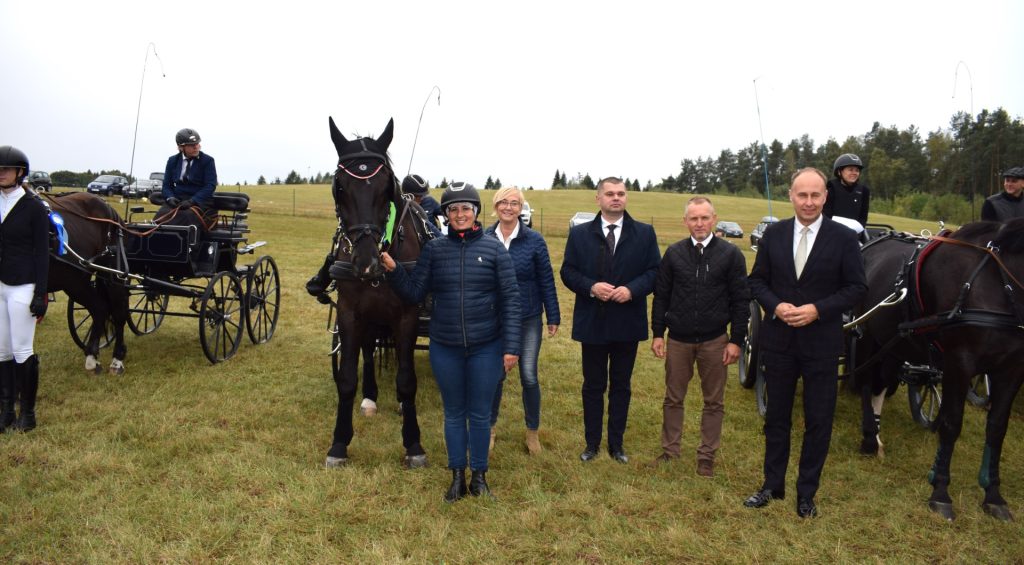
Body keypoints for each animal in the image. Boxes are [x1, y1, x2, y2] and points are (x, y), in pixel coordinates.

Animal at [44, 192, 130, 372]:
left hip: (109, 275)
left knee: (118, 312)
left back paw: (117, 359)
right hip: (75, 281)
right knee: (100, 308)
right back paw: (92, 356)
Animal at [317, 115, 430, 468]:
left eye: (386, 187)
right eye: (340, 187)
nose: (366, 263)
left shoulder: (407, 315)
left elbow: (407, 380)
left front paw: (413, 443)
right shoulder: (349, 313)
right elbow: (346, 379)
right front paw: (339, 444)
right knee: (368, 350)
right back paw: (370, 397)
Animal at [851, 220, 1024, 519]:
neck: (998, 284)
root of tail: (874, 239)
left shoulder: (1011, 369)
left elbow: (997, 429)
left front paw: (993, 495)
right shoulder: (960, 362)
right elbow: (951, 423)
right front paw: (940, 491)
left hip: (894, 346)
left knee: (879, 384)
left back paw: (876, 433)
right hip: (866, 336)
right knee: (864, 383)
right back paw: (870, 439)